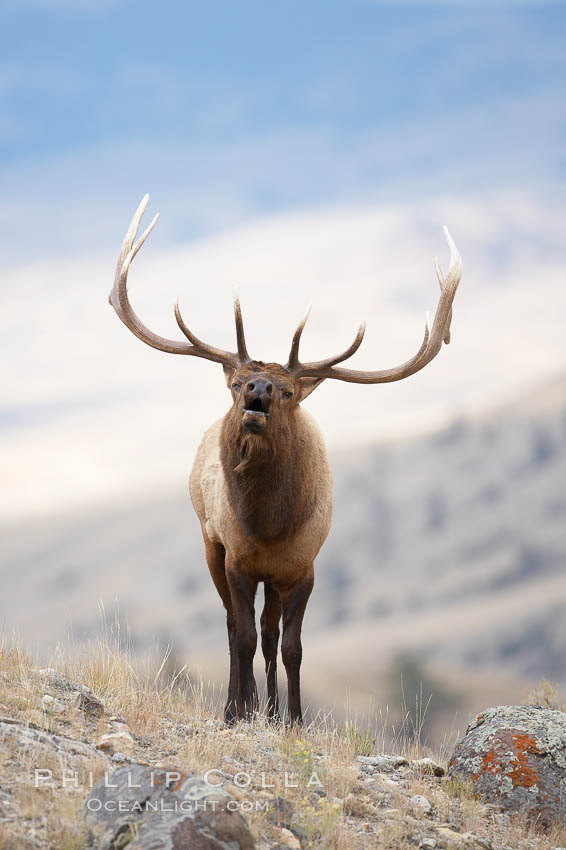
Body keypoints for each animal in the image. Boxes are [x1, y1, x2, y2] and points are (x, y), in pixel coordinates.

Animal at [108, 194, 464, 724]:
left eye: (288, 389)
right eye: (238, 383)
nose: (257, 390)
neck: (270, 527)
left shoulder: (304, 566)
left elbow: (292, 646)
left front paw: (293, 718)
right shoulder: (236, 557)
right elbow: (240, 635)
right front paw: (239, 710)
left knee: (271, 634)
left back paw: (272, 709)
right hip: (210, 543)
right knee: (235, 626)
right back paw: (242, 704)